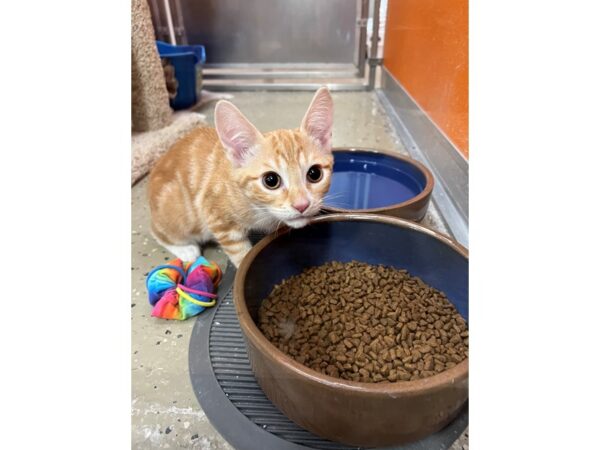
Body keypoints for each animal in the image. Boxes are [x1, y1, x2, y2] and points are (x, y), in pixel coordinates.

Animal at [146, 86, 332, 266]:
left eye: (315, 174)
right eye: (271, 180)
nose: (302, 205)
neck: (259, 209)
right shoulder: (217, 218)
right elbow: (241, 254)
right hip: (179, 216)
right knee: (158, 231)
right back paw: (185, 249)